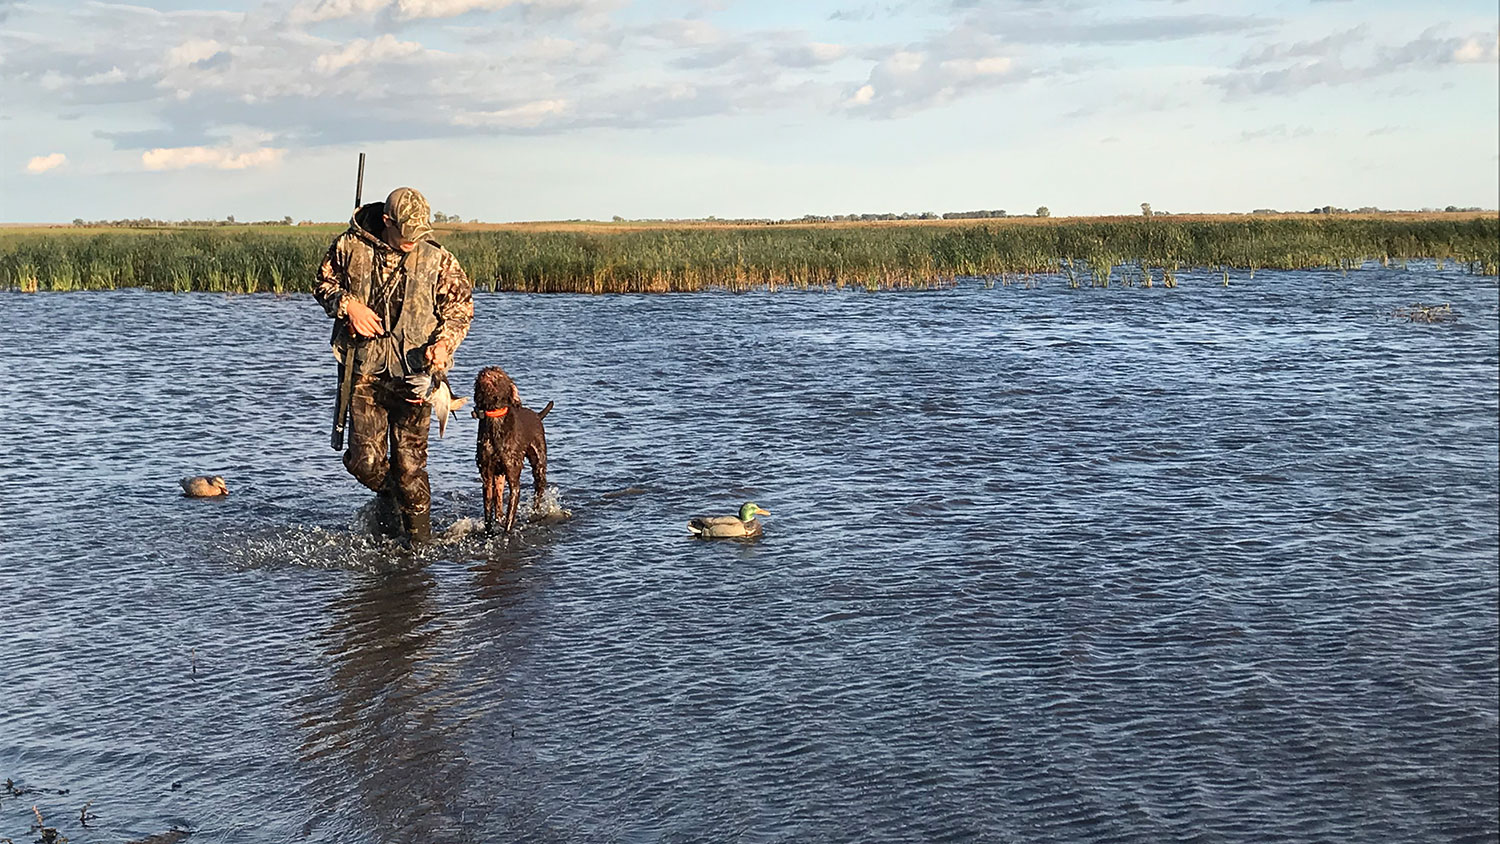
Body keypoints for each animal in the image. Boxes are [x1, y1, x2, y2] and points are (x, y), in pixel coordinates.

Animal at [471, 367, 555, 530]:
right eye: (480, 373)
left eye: (498, 373)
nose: (484, 373)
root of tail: (536, 415)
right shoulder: (487, 476)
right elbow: (488, 512)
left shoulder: (514, 480)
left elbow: (510, 517)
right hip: (499, 477)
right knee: (498, 502)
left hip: (539, 465)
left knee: (538, 491)